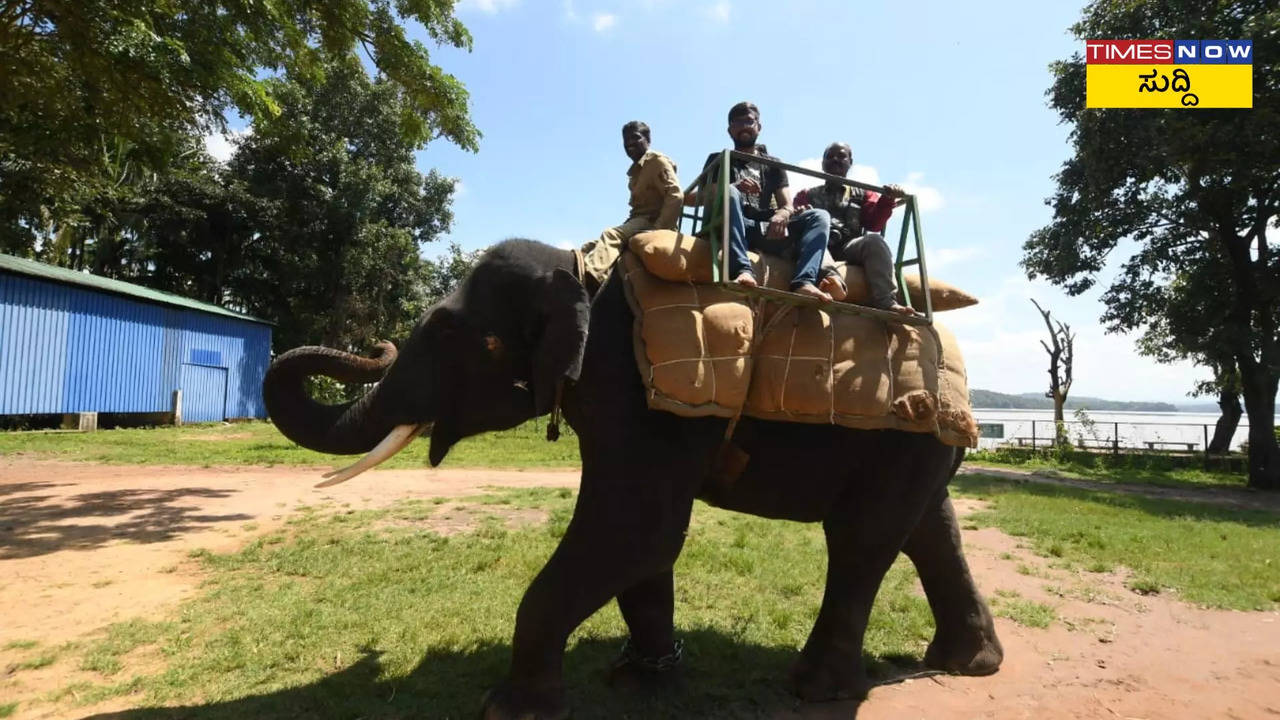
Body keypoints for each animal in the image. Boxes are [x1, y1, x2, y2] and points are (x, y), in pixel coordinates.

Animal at [264, 238, 1003, 712]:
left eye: (447, 332)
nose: (377, 344)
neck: (579, 270)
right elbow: (643, 546)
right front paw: (644, 681)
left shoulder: (637, 395)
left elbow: (635, 531)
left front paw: (512, 707)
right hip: (916, 446)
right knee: (927, 529)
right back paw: (968, 663)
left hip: (903, 434)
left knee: (860, 540)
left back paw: (817, 691)